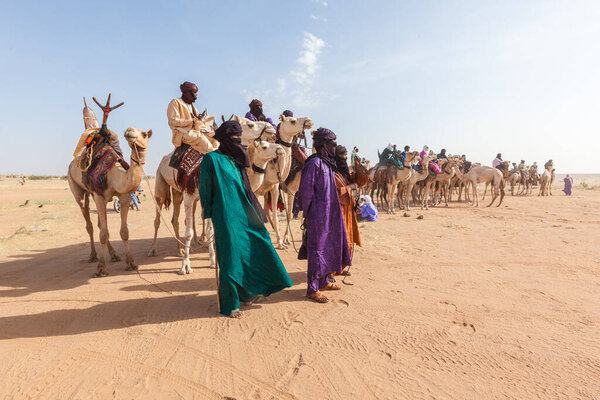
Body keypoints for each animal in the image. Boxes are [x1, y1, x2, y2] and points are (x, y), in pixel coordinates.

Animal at [67, 126, 152, 276]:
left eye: (144, 134)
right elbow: (103, 234)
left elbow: (124, 231)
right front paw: (101, 268)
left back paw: (114, 255)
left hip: (92, 194)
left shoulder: (124, 196)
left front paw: (131, 263)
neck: (115, 175)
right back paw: (93, 256)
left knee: (99, 224)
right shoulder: (99, 196)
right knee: (89, 222)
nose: (129, 130)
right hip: (77, 188)